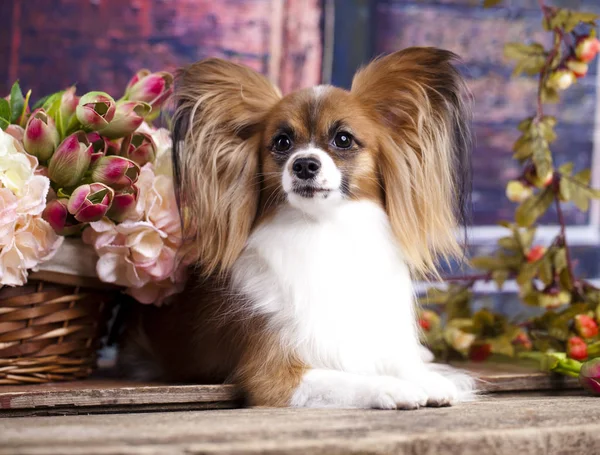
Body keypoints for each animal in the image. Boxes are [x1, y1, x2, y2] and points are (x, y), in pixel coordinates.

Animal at [122, 48, 476, 412]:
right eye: (282, 142)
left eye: (343, 139)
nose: (304, 164)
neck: (323, 229)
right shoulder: (275, 375)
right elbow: (350, 379)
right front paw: (395, 388)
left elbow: (399, 362)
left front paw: (428, 379)